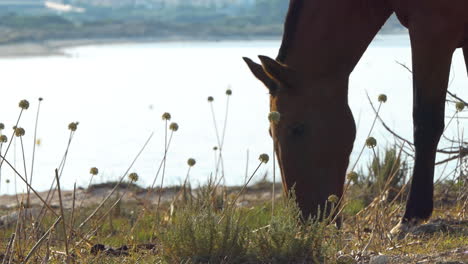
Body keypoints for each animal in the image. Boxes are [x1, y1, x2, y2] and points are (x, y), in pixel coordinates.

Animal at [243, 0, 468, 233]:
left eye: (297, 128)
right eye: (270, 132)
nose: (306, 221)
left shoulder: (432, 30)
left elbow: (425, 122)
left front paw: (411, 216)